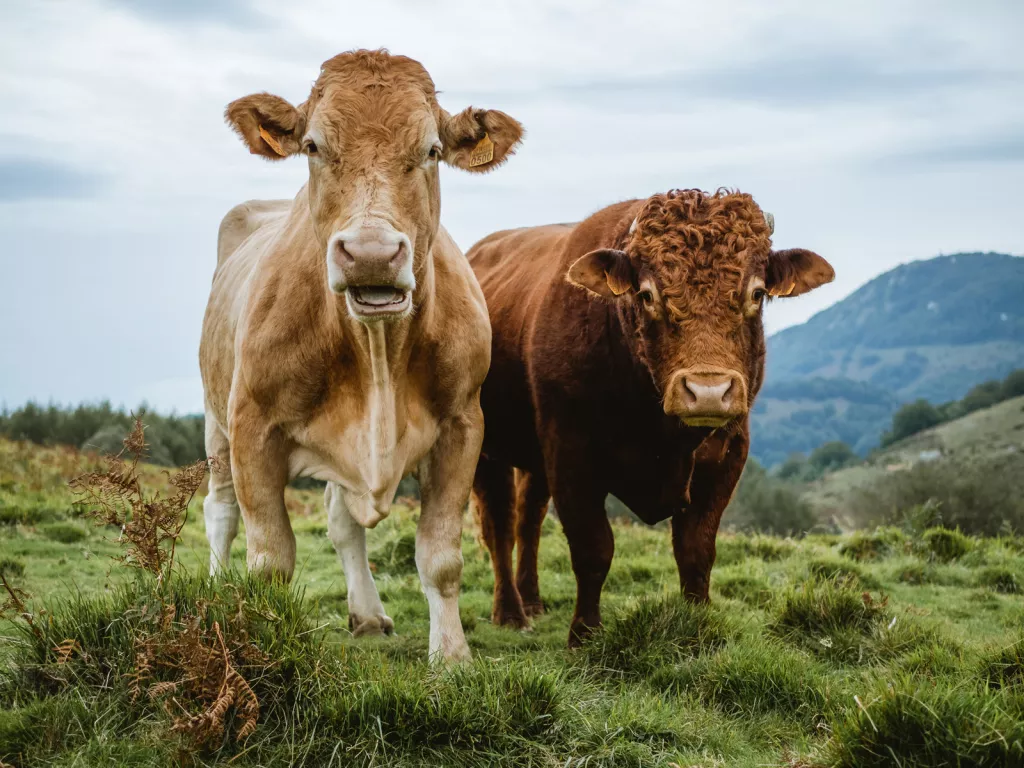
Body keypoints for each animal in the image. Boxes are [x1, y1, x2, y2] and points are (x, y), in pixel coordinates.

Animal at [198, 49, 524, 663]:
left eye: (431, 150)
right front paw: (261, 648)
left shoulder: (463, 424)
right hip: (214, 421)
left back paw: (368, 615)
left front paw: (452, 657)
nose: (371, 254)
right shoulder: (252, 426)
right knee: (220, 515)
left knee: (343, 525)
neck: (377, 351)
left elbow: (440, 558)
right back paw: (214, 588)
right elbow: (269, 560)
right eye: (313, 146)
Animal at [466, 189, 831, 647]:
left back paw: (532, 600)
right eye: (647, 295)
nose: (707, 391)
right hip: (485, 448)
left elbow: (696, 551)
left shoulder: (728, 455)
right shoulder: (570, 453)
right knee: (499, 523)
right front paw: (584, 634)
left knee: (528, 518)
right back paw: (511, 612)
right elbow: (593, 548)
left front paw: (698, 626)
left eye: (757, 293)